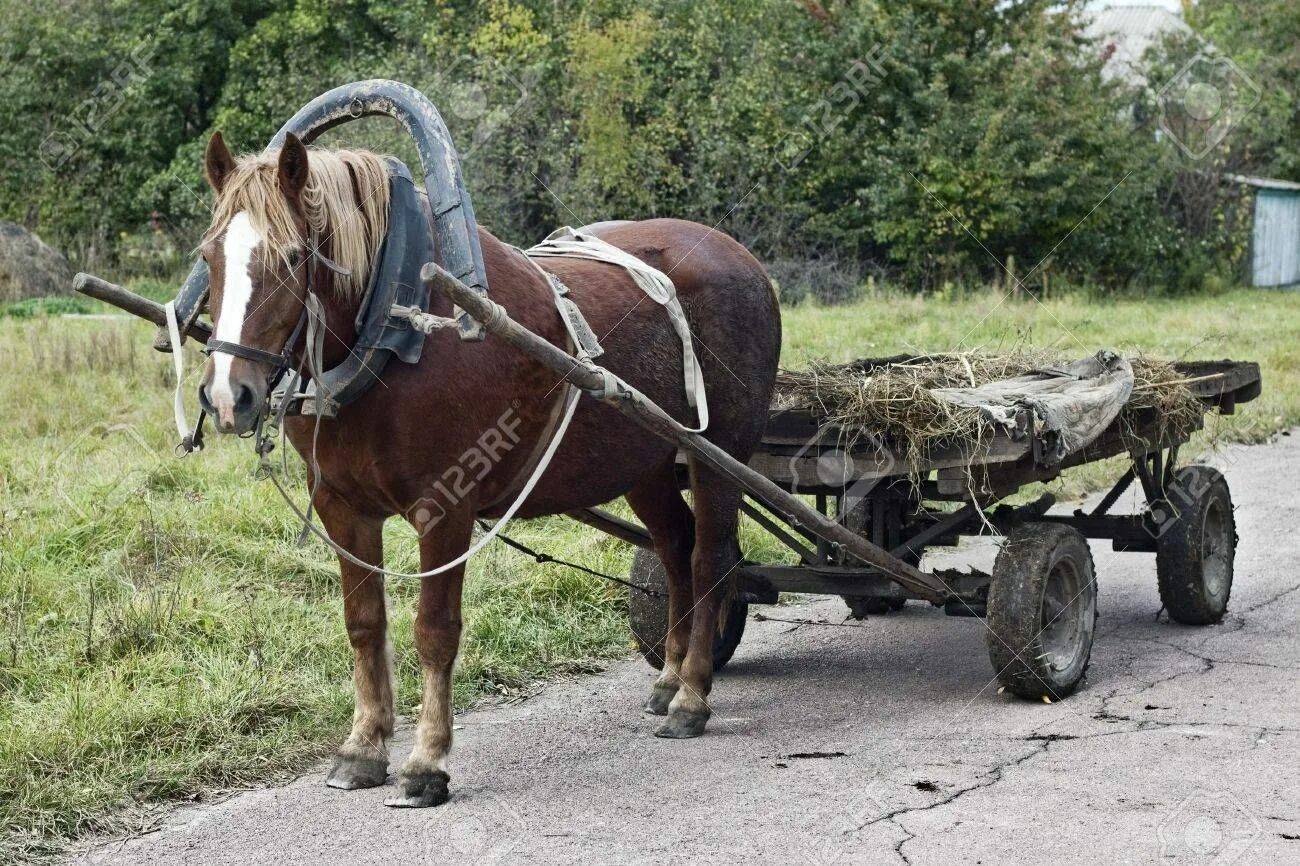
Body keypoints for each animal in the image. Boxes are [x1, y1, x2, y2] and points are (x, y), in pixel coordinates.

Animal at [197, 131, 774, 806]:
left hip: (721, 455)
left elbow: (434, 630)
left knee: (709, 559)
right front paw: (363, 747)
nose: (229, 395)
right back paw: (669, 679)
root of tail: (742, 258)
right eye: (209, 255)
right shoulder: (343, 508)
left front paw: (426, 760)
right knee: (676, 547)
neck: (397, 331)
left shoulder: (444, 508)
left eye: (292, 256)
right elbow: (364, 624)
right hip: (648, 461)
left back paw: (691, 696)